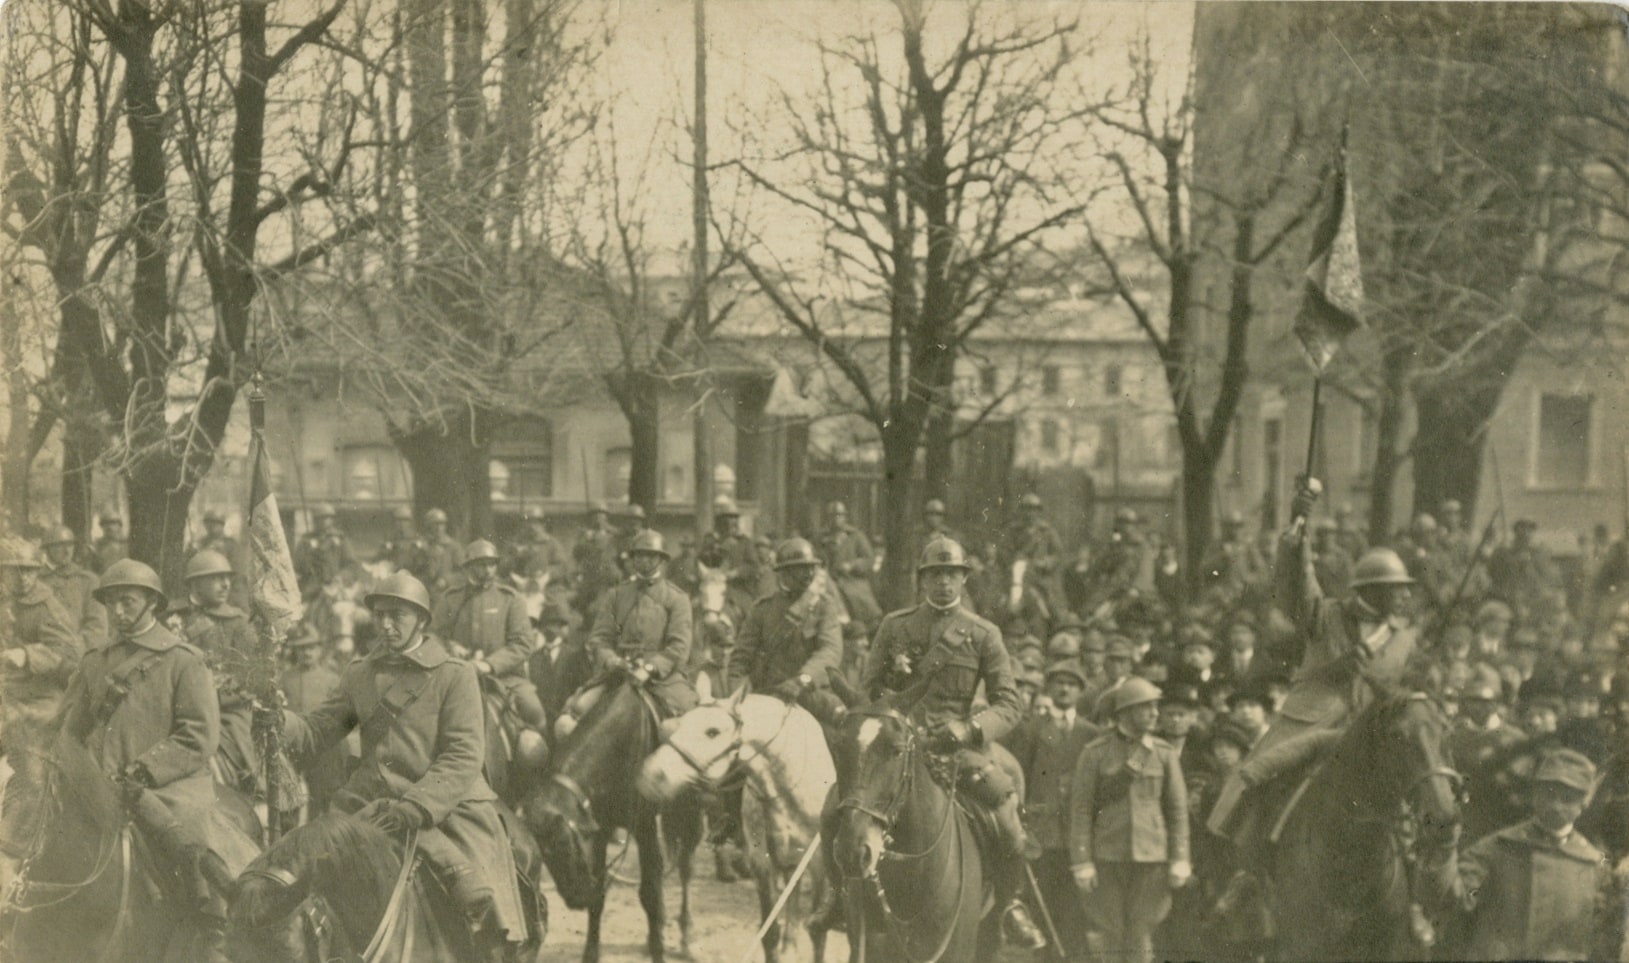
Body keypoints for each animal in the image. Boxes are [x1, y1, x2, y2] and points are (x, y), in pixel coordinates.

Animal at [521, 677, 700, 963]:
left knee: (685, 868)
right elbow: (600, 897)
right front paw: (591, 953)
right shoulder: (601, 830)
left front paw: (658, 948)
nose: (575, 899)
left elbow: (651, 894)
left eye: (563, 844)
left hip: (690, 811)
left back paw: (687, 937)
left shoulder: (645, 827)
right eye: (544, 854)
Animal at [638, 690, 840, 958]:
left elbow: (818, 936)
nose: (650, 776)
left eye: (712, 731)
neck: (787, 783)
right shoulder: (762, 864)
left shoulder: (819, 867)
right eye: (683, 722)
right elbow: (770, 933)